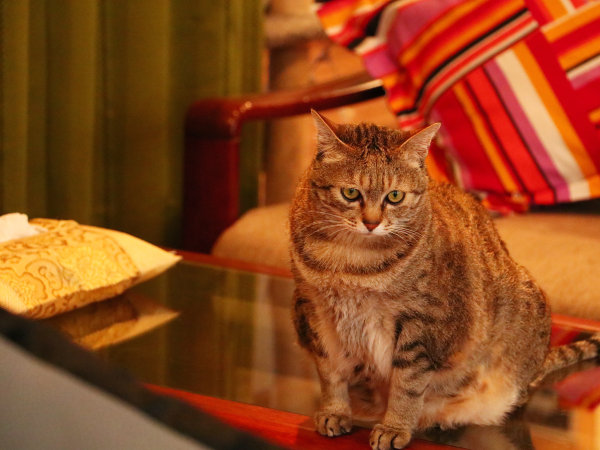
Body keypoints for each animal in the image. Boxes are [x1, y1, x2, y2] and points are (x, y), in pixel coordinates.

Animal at [288, 110, 596, 450]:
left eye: (395, 196)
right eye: (351, 193)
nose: (371, 223)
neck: (353, 264)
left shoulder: (423, 323)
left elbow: (407, 385)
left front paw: (395, 427)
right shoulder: (314, 309)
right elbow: (330, 371)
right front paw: (334, 411)